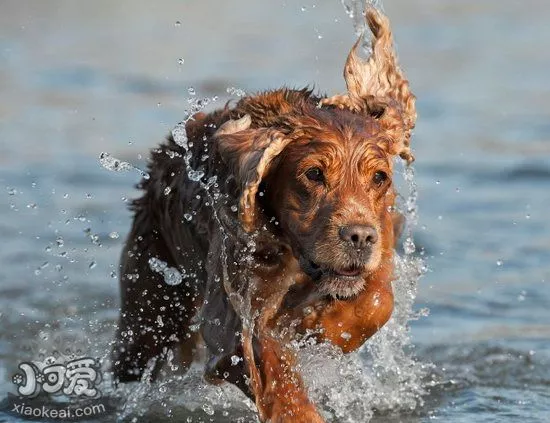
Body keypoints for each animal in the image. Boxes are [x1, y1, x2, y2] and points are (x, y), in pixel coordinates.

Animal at [113, 7, 418, 423]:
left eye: (380, 177)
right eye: (314, 174)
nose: (358, 237)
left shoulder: (381, 240)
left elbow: (377, 300)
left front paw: (324, 327)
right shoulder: (231, 312)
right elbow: (271, 362)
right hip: (150, 296)